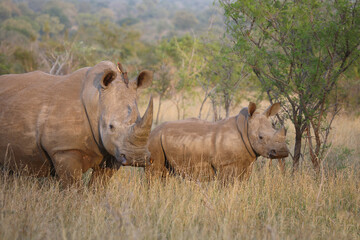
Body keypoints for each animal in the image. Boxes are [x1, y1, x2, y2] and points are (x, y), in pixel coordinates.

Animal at [0, 61, 153, 187]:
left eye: (139, 119)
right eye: (111, 126)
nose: (137, 158)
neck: (96, 101)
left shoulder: (113, 151)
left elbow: (99, 185)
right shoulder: (64, 150)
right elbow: (73, 187)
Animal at [145, 102, 288, 181]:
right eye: (260, 137)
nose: (282, 152)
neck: (245, 127)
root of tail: (152, 131)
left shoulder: (246, 163)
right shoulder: (226, 165)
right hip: (154, 140)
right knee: (155, 172)